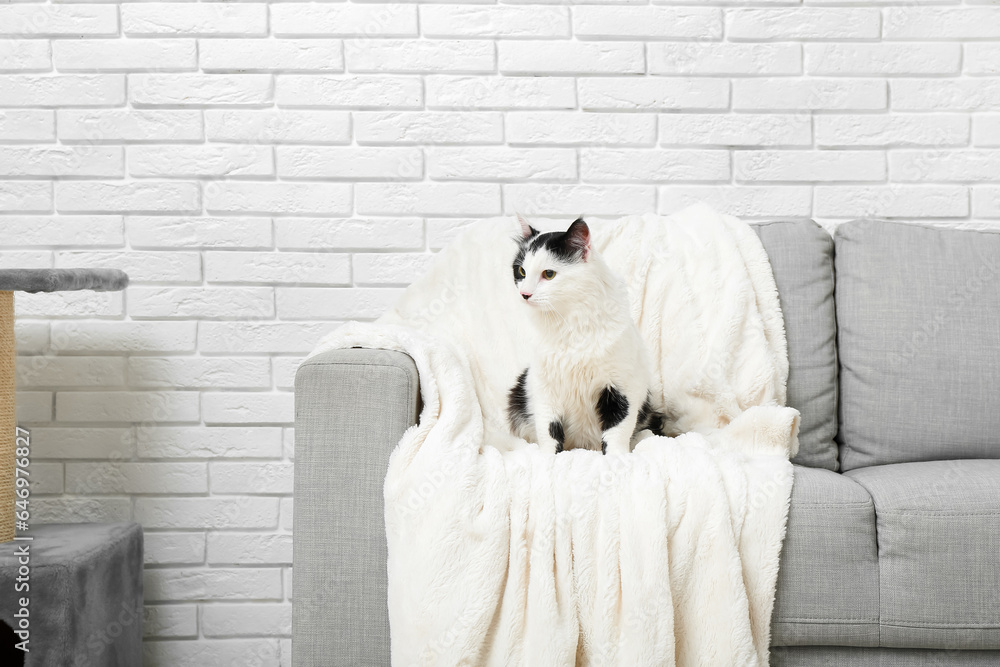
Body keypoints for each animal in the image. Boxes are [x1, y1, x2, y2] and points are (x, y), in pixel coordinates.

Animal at [508, 217, 664, 456]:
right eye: (521, 272)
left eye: (549, 274)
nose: (524, 294)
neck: (569, 326)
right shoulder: (543, 387)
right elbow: (548, 430)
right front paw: (547, 457)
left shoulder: (623, 386)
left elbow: (617, 429)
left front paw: (618, 457)